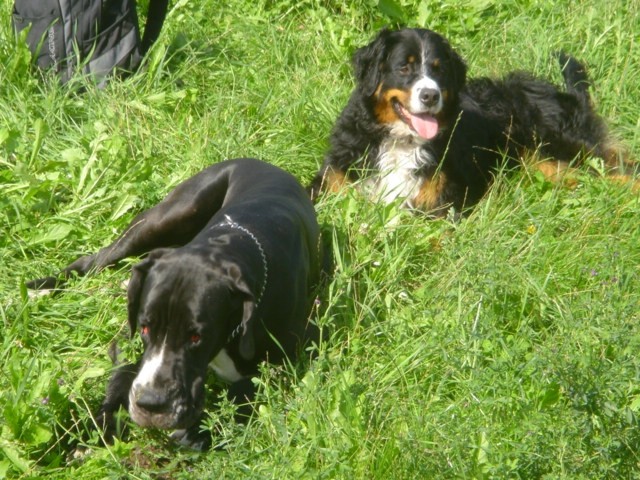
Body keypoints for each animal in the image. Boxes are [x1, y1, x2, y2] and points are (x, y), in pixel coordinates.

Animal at [27, 158, 322, 450]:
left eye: (196, 337)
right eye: (145, 328)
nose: (152, 403)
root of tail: (259, 162)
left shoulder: (292, 354)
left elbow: (246, 389)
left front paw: (199, 431)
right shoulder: (129, 338)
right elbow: (123, 372)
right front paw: (99, 425)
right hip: (166, 217)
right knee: (94, 260)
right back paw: (42, 287)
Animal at [310, 27, 636, 217]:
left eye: (439, 70)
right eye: (404, 67)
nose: (430, 95)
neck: (400, 141)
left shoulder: (441, 202)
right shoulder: (333, 179)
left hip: (564, 152)